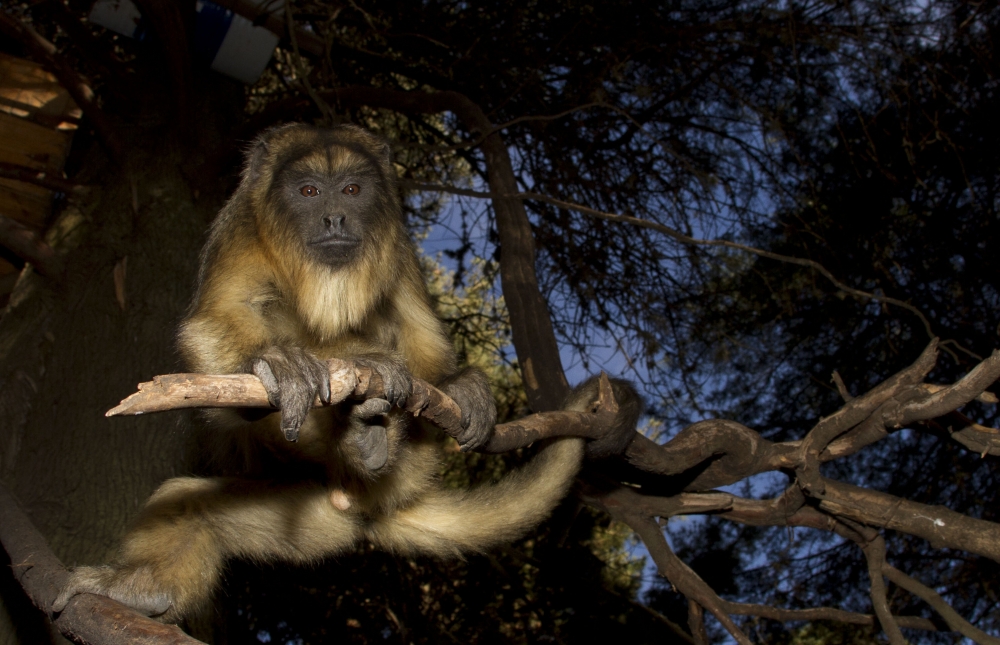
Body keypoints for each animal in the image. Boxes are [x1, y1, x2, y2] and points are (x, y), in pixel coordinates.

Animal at [52, 123, 640, 620]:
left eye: (353, 190)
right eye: (310, 192)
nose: (335, 220)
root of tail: (362, 504)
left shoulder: (396, 240)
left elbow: (420, 327)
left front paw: (454, 385)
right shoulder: (239, 227)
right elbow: (217, 316)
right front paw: (274, 364)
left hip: (361, 495)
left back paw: (370, 433)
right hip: (308, 512)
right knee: (187, 502)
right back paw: (143, 588)